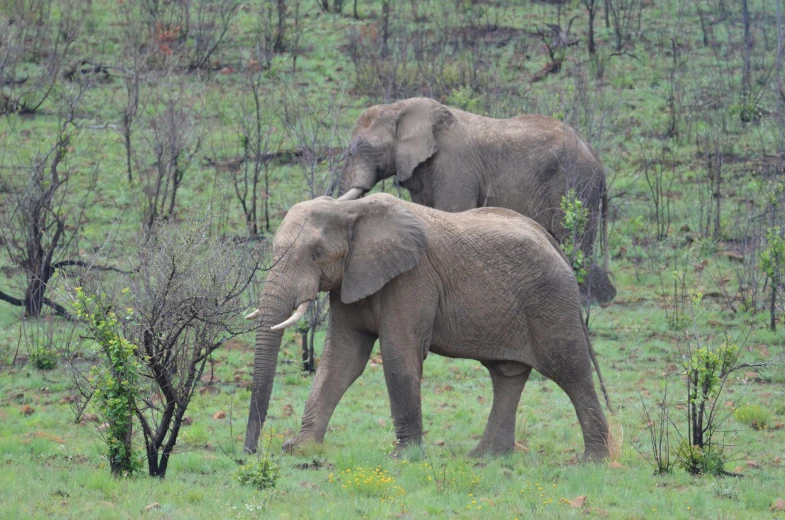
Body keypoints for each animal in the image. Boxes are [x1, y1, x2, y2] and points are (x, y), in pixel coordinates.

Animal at [245, 192, 612, 460]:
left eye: (317, 253)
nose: (250, 453)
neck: (351, 209)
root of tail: (555, 245)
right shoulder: (350, 280)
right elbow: (342, 360)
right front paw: (301, 448)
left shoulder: (412, 278)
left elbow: (398, 354)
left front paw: (404, 457)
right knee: (506, 375)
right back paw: (484, 458)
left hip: (551, 302)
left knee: (570, 369)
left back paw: (592, 461)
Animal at [334, 96, 616, 304]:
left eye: (359, 149)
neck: (400, 107)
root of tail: (598, 161)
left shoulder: (455, 168)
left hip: (576, 184)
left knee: (574, 239)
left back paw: (586, 300)